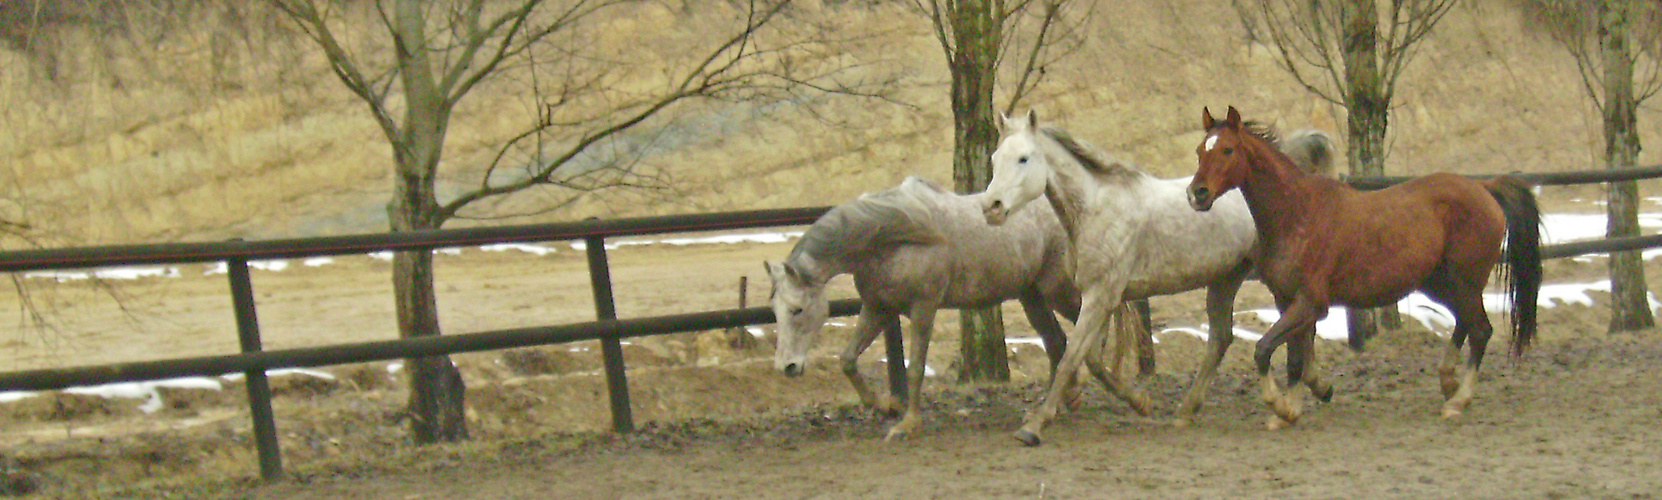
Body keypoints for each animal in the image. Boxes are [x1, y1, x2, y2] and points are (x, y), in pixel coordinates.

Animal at [977, 109, 1329, 445]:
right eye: (995, 158)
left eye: (1024, 158)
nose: (991, 207)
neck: (1095, 209)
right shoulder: (1099, 296)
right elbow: (1092, 360)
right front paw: (1139, 402)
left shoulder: (1100, 296)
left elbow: (1070, 358)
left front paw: (1033, 427)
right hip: (1225, 278)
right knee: (1223, 338)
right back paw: (1189, 410)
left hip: (1276, 281)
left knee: (1300, 329)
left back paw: (1296, 402)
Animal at [1189, 107, 1535, 425]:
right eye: (1199, 151)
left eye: (1227, 150)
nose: (1197, 194)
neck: (1297, 214)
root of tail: (1485, 188)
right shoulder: (1286, 301)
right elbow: (1294, 359)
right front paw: (1296, 406)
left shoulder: (1310, 303)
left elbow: (1265, 350)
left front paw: (1281, 406)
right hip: (1442, 283)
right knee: (1465, 322)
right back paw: (1448, 381)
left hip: (1464, 280)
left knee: (1480, 331)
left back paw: (1458, 400)